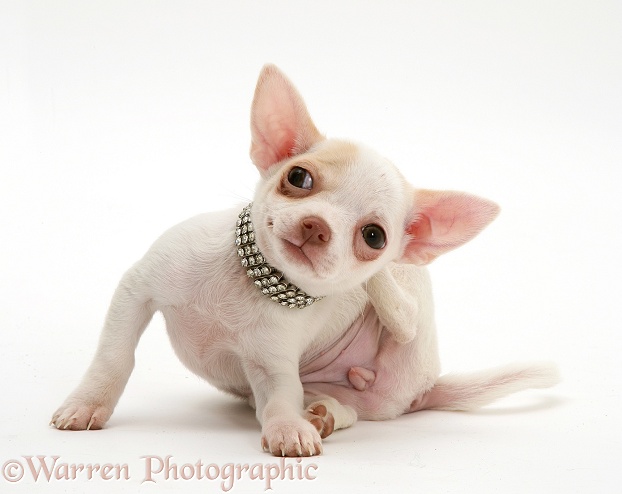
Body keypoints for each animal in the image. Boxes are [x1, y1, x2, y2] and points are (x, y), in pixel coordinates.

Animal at [52, 64, 560, 456]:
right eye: (298, 178)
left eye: (373, 236)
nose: (318, 226)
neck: (255, 280)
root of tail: (424, 389)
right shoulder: (136, 291)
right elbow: (114, 358)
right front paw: (88, 403)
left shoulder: (273, 368)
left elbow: (279, 402)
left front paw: (288, 430)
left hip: (406, 332)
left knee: (396, 331)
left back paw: (324, 411)